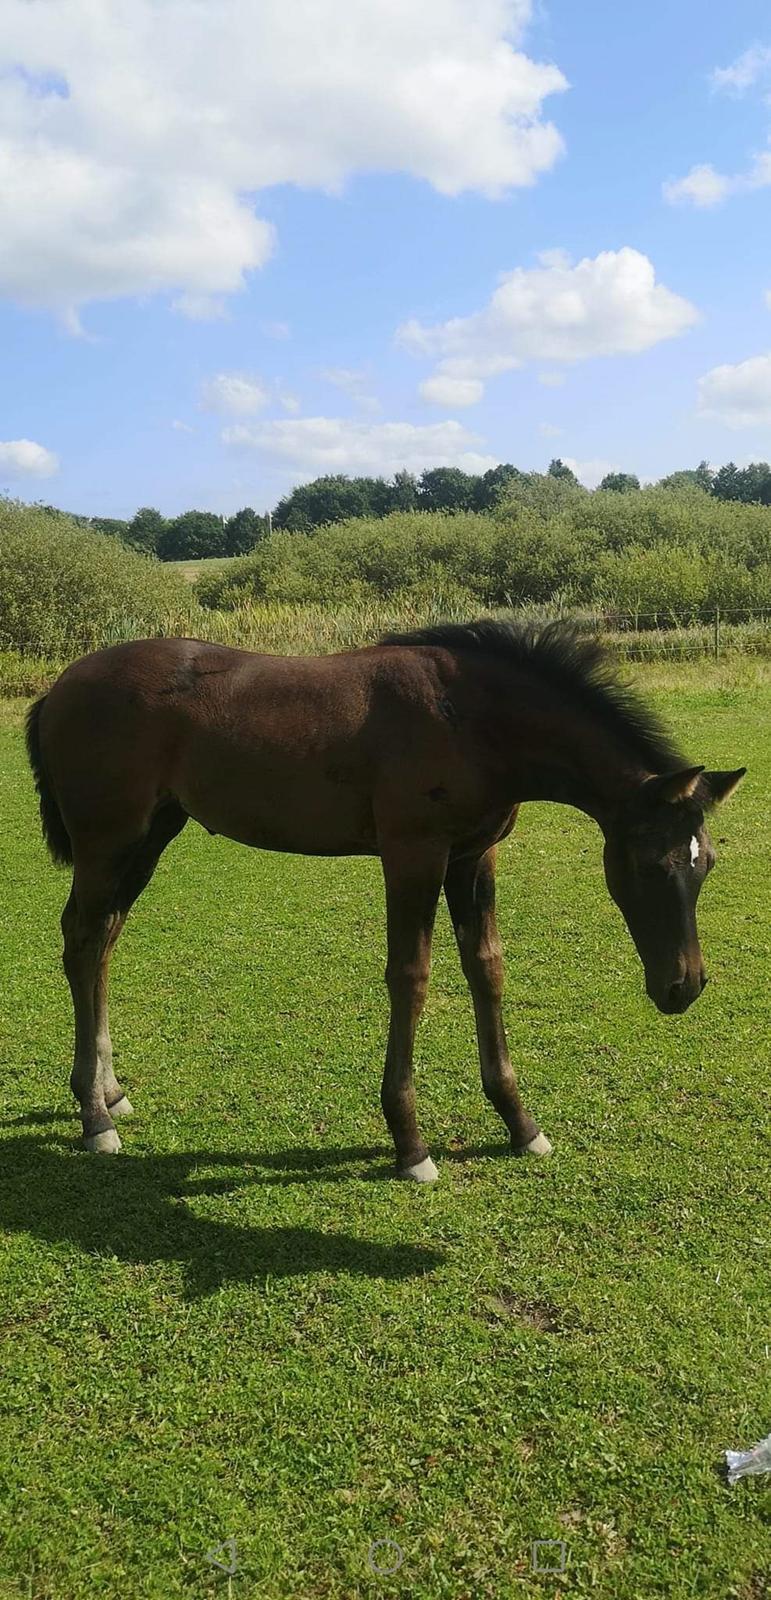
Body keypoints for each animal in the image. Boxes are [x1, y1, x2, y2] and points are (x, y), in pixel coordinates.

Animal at [27, 620, 745, 1177]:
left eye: (705, 863)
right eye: (650, 864)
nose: (683, 986)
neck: (473, 719)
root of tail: (58, 688)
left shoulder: (473, 856)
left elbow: (486, 968)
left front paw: (520, 1123)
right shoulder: (412, 855)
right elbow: (410, 977)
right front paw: (410, 1144)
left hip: (150, 836)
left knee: (103, 939)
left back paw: (109, 1092)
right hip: (108, 841)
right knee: (82, 941)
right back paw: (93, 1117)